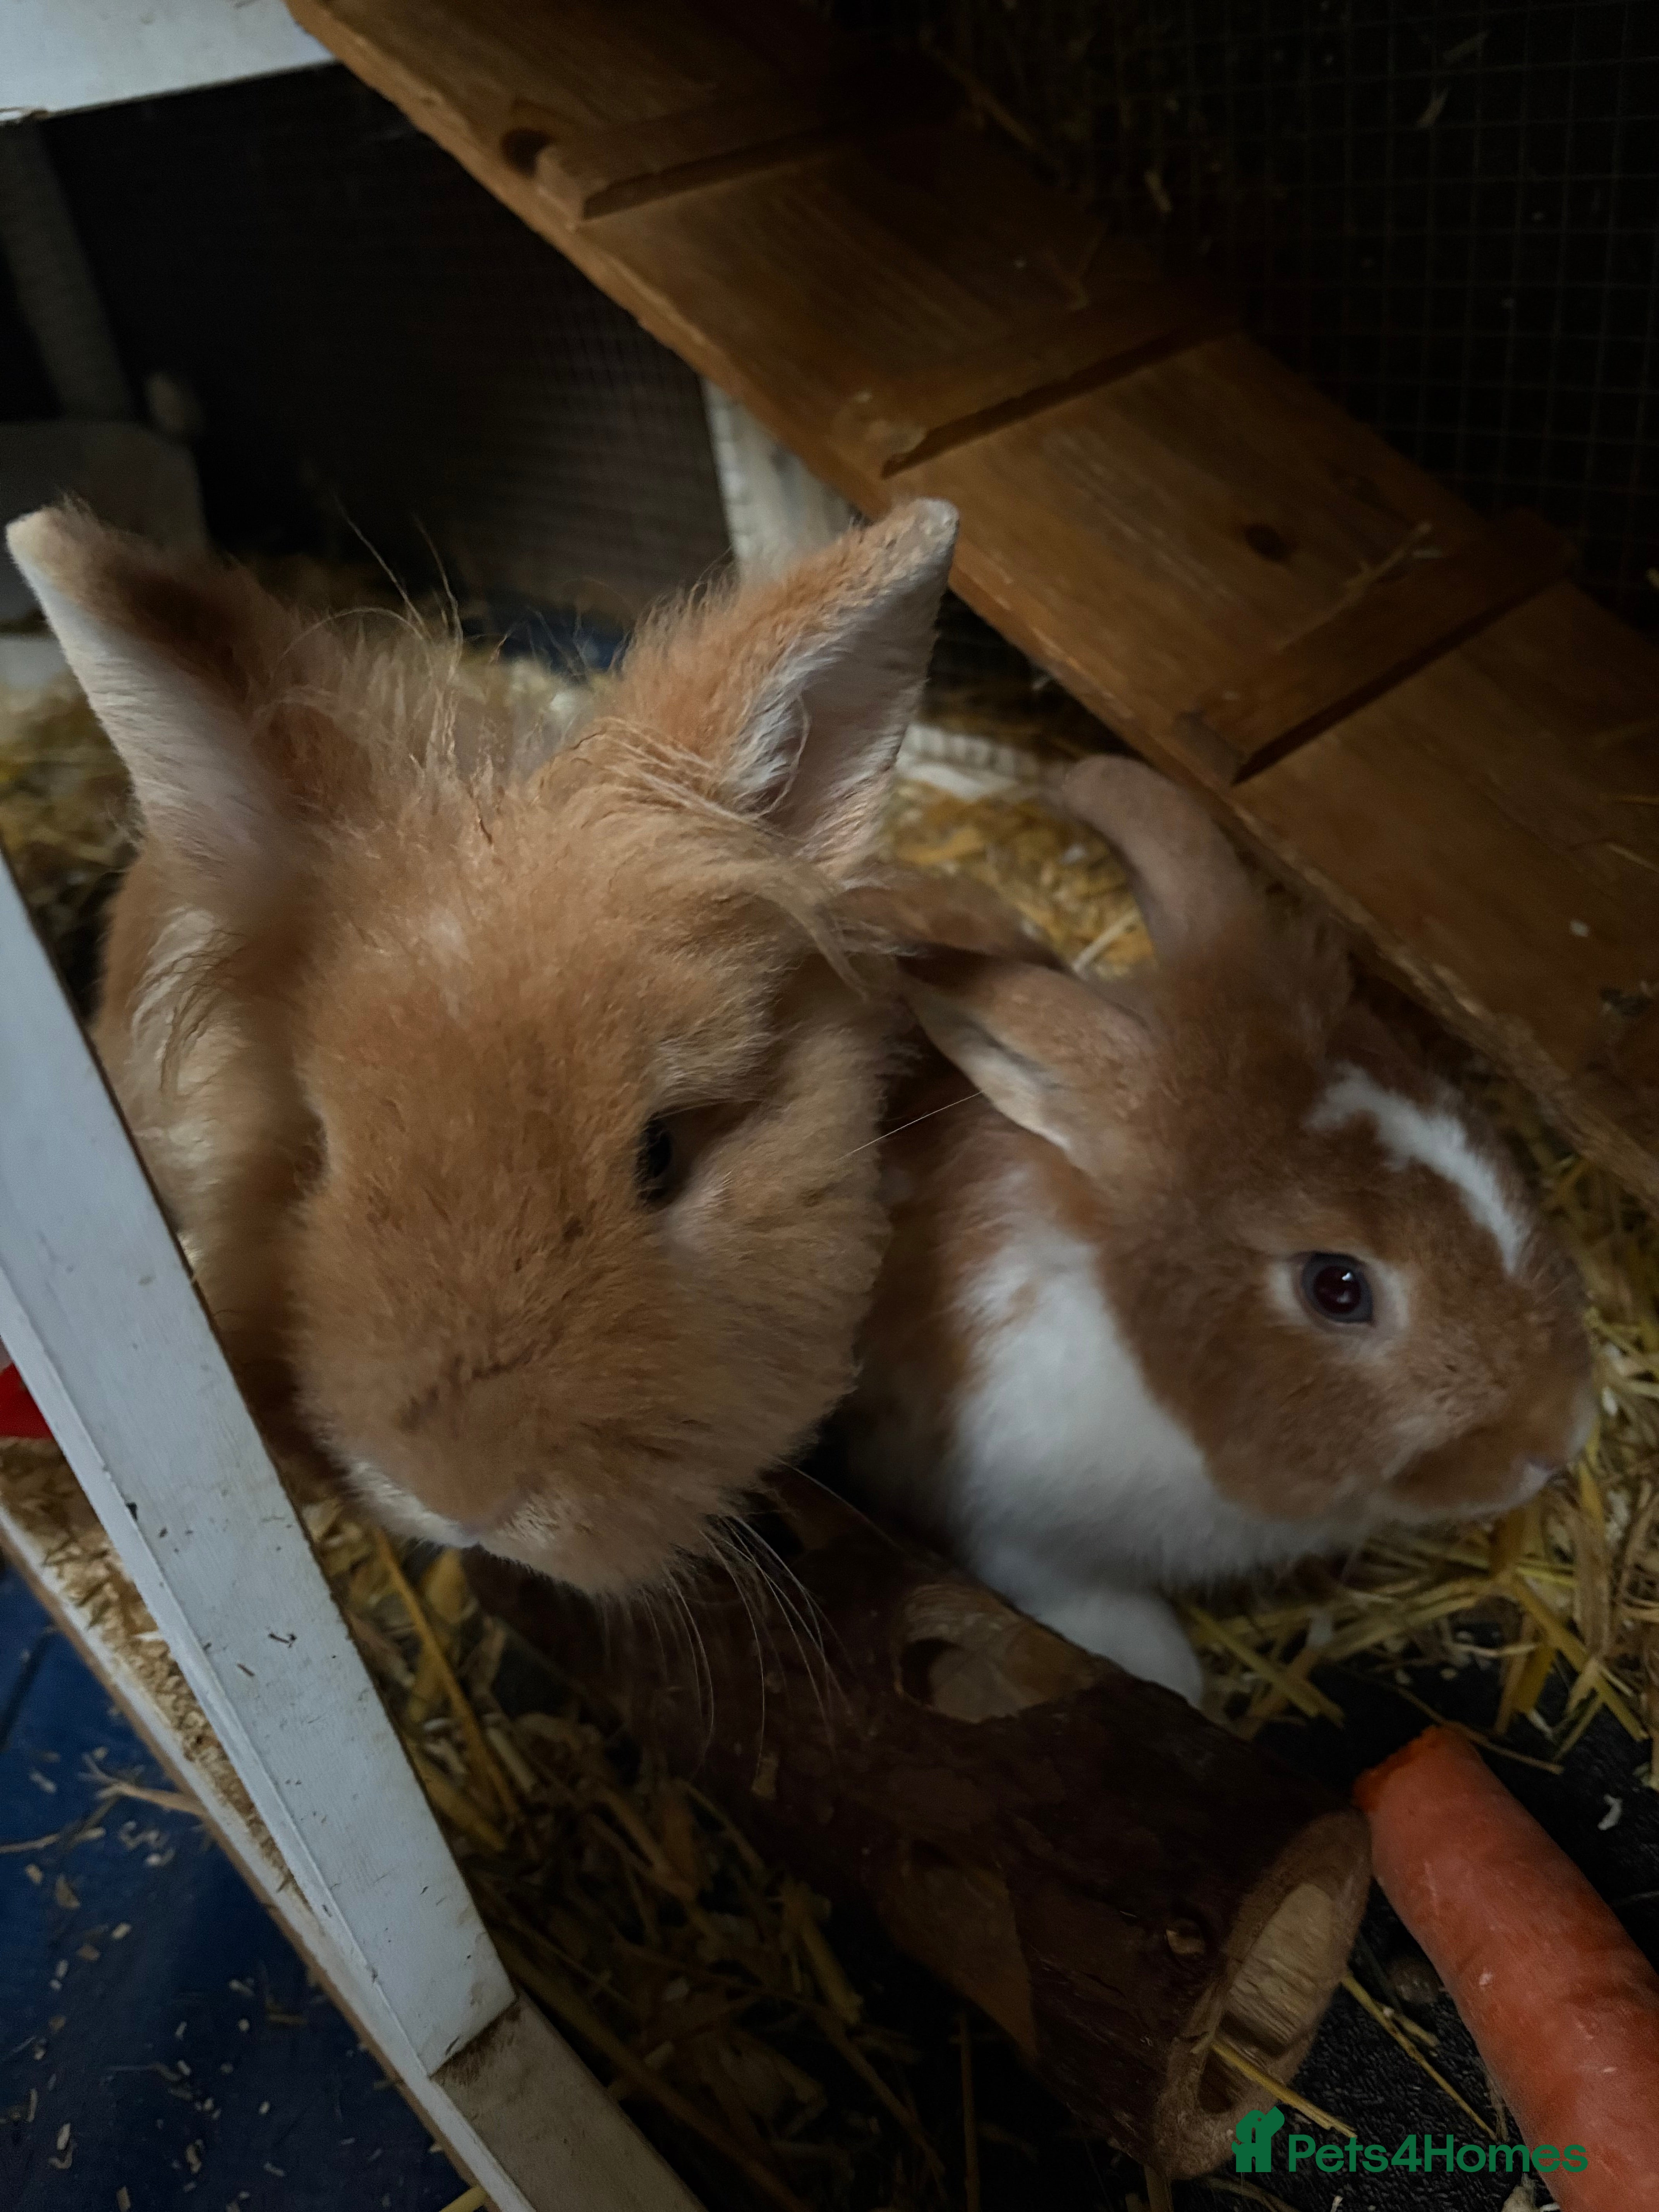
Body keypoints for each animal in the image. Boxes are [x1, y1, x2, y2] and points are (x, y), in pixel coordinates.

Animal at [841, 755, 1595, 1705]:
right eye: (1336, 1287)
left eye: (1470, 1127)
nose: (1559, 1436)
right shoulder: (1016, 1531)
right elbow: (1097, 1612)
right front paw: (1169, 1677)